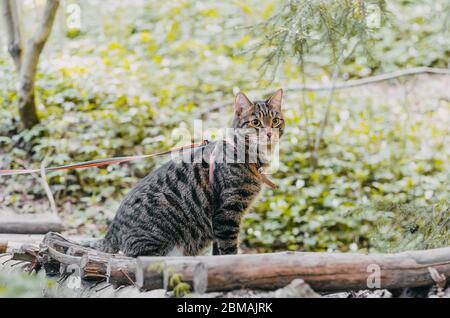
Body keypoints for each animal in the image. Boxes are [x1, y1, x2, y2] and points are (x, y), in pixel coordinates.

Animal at [88, 88, 284, 258]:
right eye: (256, 122)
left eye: (275, 121)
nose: (269, 133)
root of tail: (111, 230)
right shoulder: (227, 213)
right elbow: (228, 250)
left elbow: (217, 252)